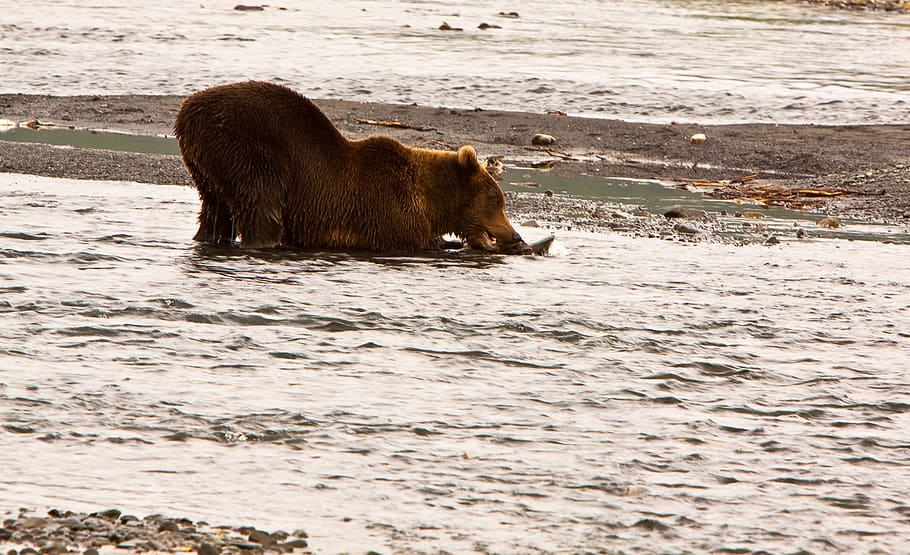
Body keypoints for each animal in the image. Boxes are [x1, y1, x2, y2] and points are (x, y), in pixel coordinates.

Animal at [173, 81, 531, 254]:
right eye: (497, 202)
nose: (515, 235)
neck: (430, 200)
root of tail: (186, 112)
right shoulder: (388, 209)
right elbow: (413, 239)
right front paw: (451, 243)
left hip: (208, 165)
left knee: (215, 210)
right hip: (250, 149)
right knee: (262, 208)